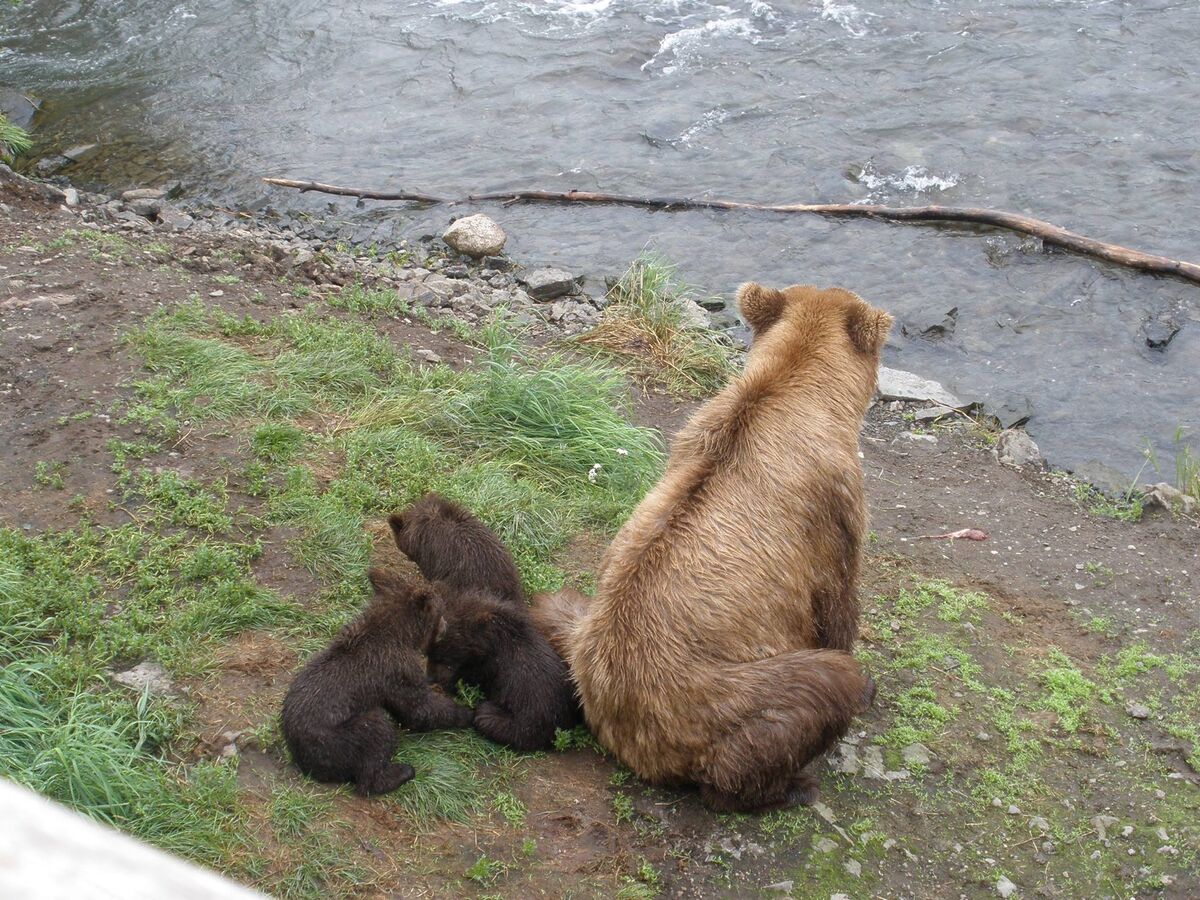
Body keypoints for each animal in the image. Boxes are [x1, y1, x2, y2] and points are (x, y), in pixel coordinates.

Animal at [535, 283, 892, 816]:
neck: (804, 390)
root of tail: (626, 737)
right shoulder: (834, 503)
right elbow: (837, 604)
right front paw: (868, 686)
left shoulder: (693, 434)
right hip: (718, 697)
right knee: (819, 684)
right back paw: (792, 784)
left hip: (587, 638)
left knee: (555, 606)